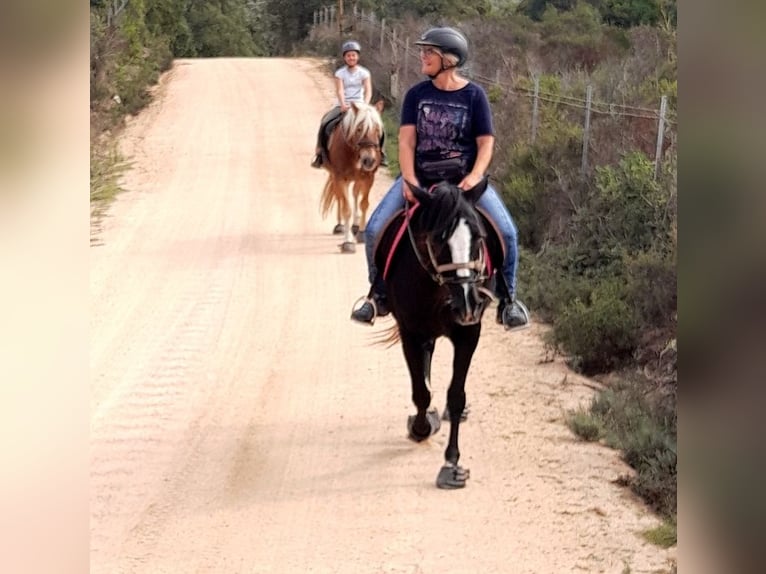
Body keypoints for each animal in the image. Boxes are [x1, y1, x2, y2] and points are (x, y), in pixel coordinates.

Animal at [320, 102, 388, 254]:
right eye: (359, 129)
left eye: (377, 129)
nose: (369, 160)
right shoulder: (340, 178)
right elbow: (346, 209)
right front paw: (348, 242)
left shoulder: (368, 177)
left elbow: (364, 204)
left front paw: (362, 233)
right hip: (336, 177)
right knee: (340, 197)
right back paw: (340, 226)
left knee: (356, 194)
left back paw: (355, 226)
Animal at [380, 178, 504, 488]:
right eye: (437, 240)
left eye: (479, 238)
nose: (467, 304)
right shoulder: (410, 332)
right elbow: (421, 392)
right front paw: (421, 427)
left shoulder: (469, 334)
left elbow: (456, 396)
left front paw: (452, 463)